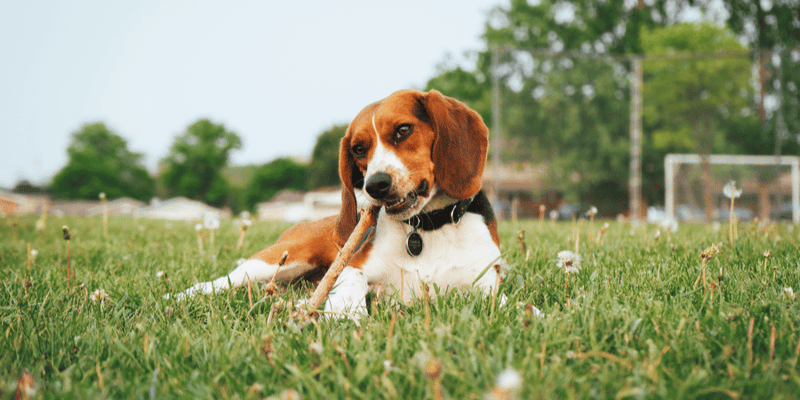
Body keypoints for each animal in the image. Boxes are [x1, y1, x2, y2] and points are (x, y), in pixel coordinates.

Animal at [178, 90, 510, 318]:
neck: (427, 227)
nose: (375, 184)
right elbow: (350, 285)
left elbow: (511, 305)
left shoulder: (487, 282)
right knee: (216, 282)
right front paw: (343, 316)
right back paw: (179, 298)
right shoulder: (354, 267)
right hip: (276, 260)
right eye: (358, 149)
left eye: (403, 130)